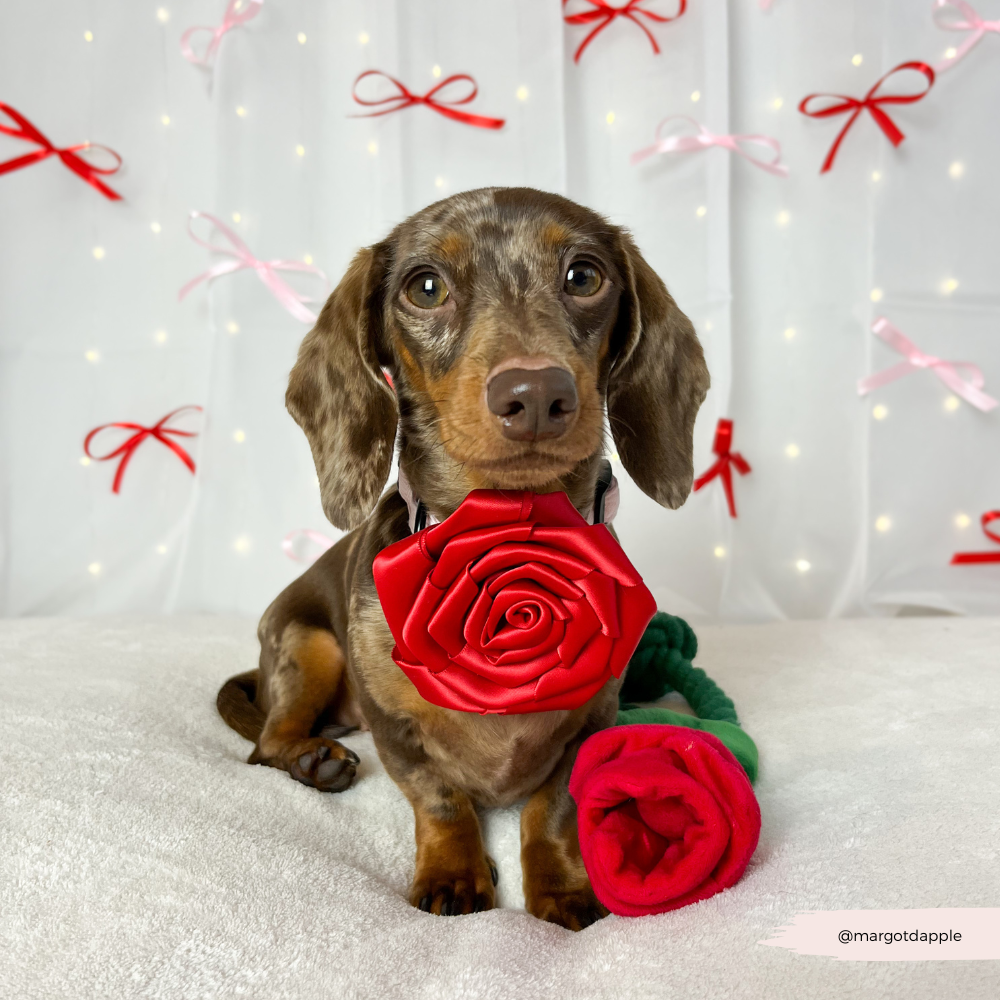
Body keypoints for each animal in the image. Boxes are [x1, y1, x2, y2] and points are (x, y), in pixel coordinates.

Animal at [215, 186, 708, 928]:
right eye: (425, 287)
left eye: (584, 276)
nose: (536, 394)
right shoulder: (393, 727)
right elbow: (440, 798)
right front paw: (455, 873)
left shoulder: (593, 718)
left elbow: (553, 805)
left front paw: (561, 885)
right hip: (309, 646)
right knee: (265, 745)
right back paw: (313, 761)